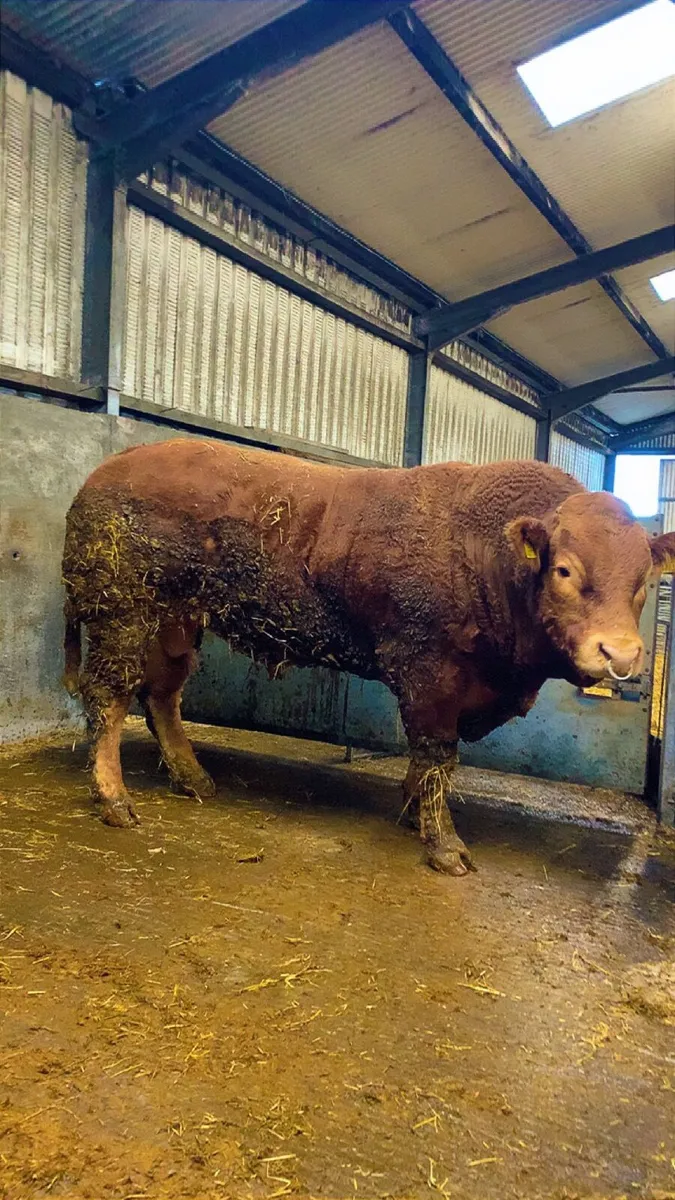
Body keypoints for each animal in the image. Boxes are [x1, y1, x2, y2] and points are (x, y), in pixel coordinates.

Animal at [62, 441, 675, 875]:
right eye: (565, 569)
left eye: (644, 581)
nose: (619, 653)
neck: (487, 554)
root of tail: (106, 470)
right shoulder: (430, 672)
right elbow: (438, 754)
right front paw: (444, 844)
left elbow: (428, 761)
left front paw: (413, 811)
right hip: (122, 614)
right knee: (109, 697)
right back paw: (115, 800)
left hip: (177, 621)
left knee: (162, 694)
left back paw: (193, 779)